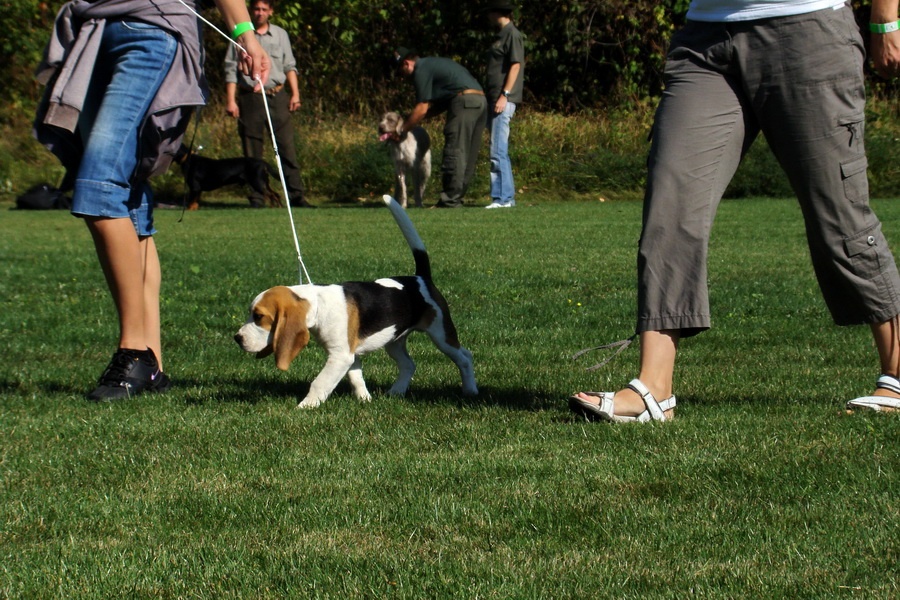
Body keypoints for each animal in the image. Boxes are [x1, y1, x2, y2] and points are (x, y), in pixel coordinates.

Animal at [237, 193, 478, 408]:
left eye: (259, 317)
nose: (237, 338)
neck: (318, 305)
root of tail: (419, 278)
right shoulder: (350, 353)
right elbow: (356, 378)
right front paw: (365, 400)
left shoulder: (340, 356)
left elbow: (320, 383)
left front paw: (305, 406)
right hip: (394, 340)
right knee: (409, 365)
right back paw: (396, 392)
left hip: (441, 333)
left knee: (464, 357)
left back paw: (470, 390)